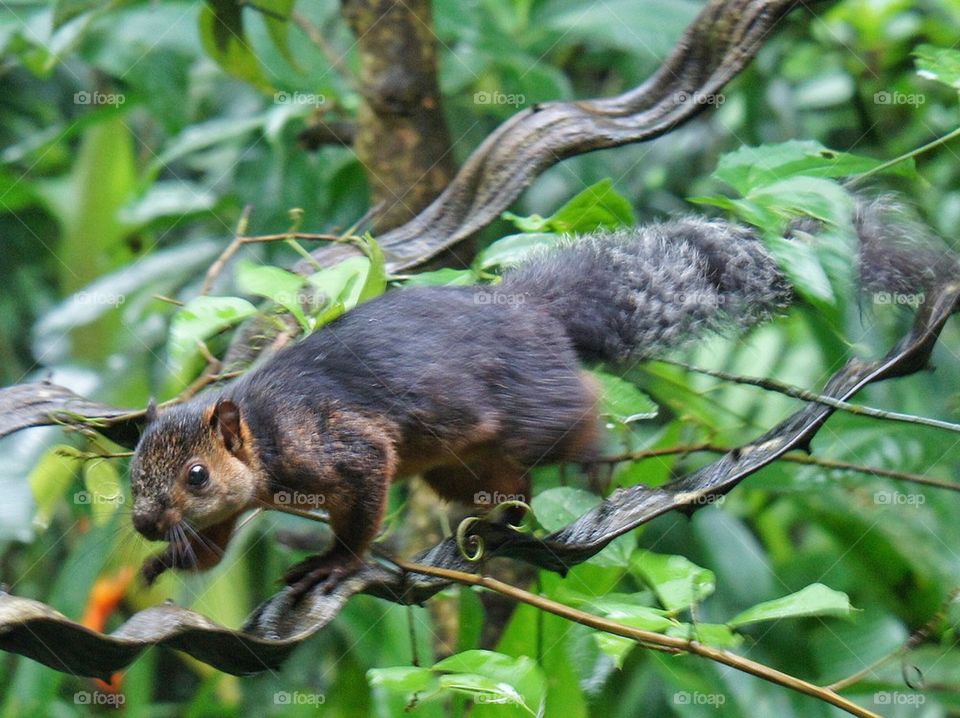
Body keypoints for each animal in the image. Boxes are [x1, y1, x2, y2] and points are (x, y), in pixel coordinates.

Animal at [129, 198, 954, 597]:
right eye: (133, 473)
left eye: (196, 474)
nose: (141, 524)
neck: (260, 432)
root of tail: (529, 309)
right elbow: (212, 547)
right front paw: (163, 566)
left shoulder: (333, 441)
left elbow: (361, 497)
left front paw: (333, 564)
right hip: (456, 463)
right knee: (505, 484)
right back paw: (503, 521)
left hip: (534, 407)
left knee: (580, 415)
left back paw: (595, 469)